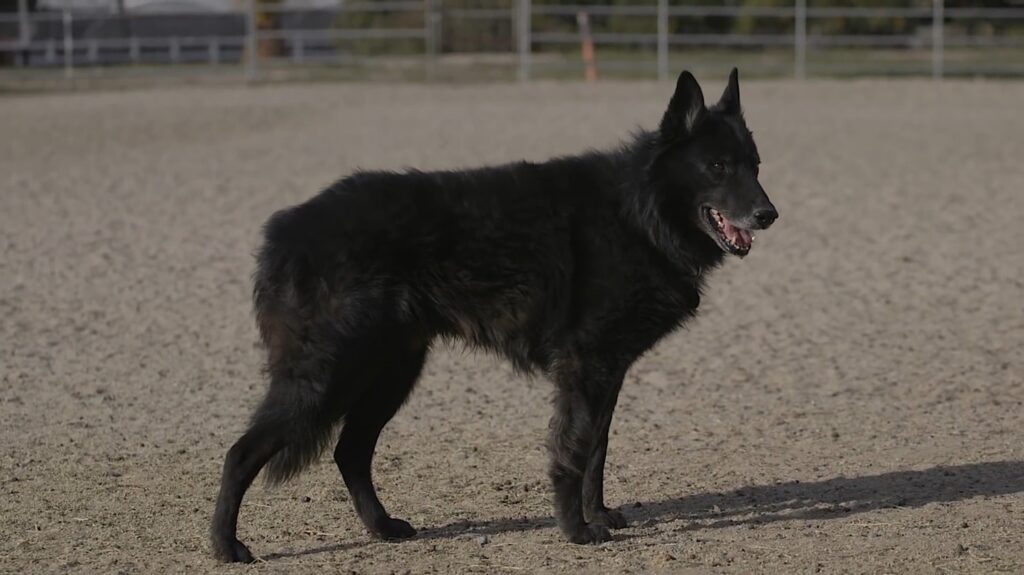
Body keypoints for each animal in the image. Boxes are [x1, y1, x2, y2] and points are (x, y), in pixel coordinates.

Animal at [214, 67, 774, 560]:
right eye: (718, 167)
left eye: (755, 165)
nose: (768, 215)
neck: (639, 212)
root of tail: (284, 230)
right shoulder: (585, 370)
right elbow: (573, 452)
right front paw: (576, 530)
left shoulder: (608, 373)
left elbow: (597, 451)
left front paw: (598, 514)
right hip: (327, 377)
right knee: (241, 453)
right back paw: (225, 547)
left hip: (389, 374)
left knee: (350, 451)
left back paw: (382, 527)